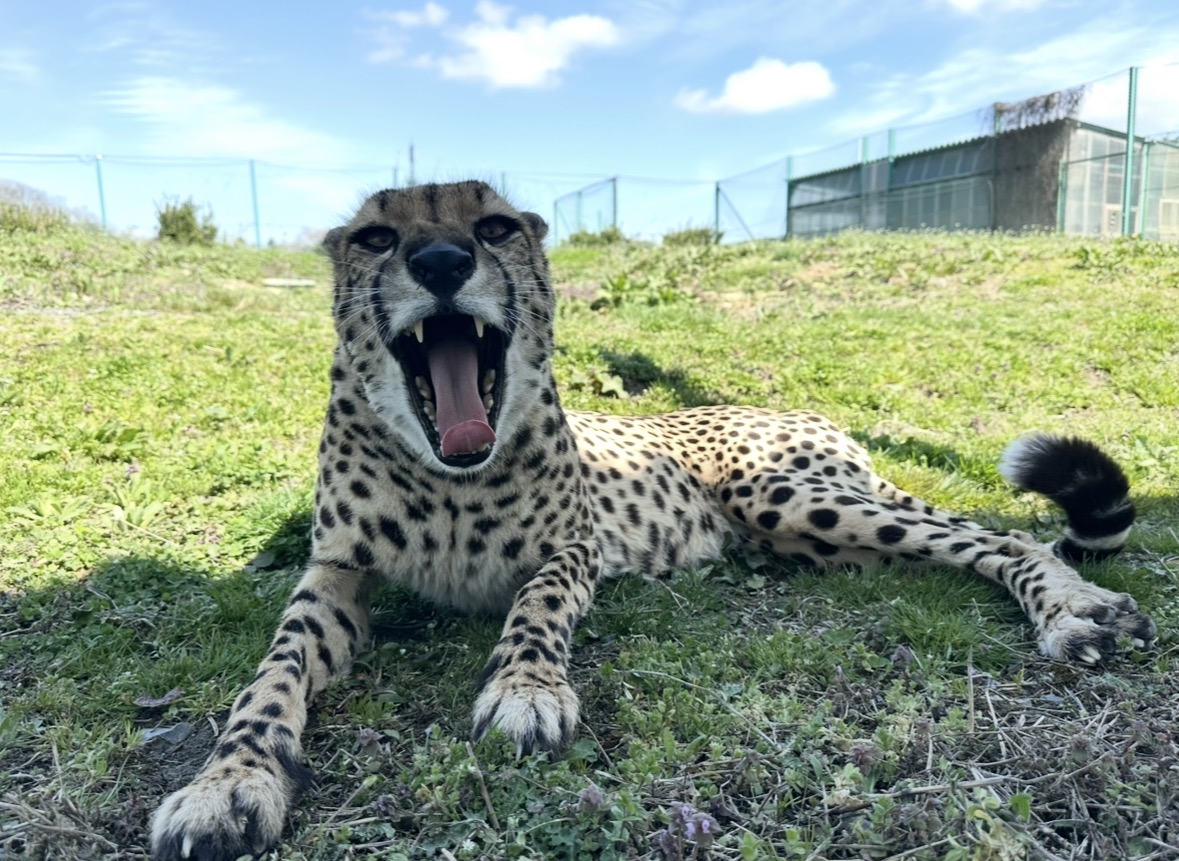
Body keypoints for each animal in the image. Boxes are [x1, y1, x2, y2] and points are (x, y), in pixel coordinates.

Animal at [150, 180, 1156, 860]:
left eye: (493, 226)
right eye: (375, 236)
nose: (440, 265)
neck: (449, 475)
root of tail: (805, 413)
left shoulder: (573, 546)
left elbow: (536, 607)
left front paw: (525, 688)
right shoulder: (334, 573)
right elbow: (272, 674)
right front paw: (227, 781)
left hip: (785, 495)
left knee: (999, 535)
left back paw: (1074, 611)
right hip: (804, 536)